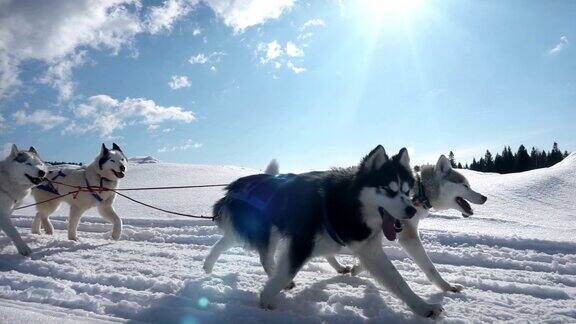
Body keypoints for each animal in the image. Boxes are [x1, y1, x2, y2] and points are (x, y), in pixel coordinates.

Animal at [206, 146, 446, 318]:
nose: (411, 209)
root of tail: (237, 185)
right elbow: (286, 272)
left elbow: (399, 282)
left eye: (407, 191)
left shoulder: (370, 252)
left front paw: (423, 307)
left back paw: (208, 264)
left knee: (229, 240)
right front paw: (266, 300)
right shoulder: (301, 243)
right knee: (263, 256)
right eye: (388, 190)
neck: (347, 204)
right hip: (267, 229)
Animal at [330, 154, 488, 294]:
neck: (420, 191)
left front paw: (357, 268)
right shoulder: (408, 236)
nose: (484, 197)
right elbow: (430, 268)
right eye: (465, 186)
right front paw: (447, 287)